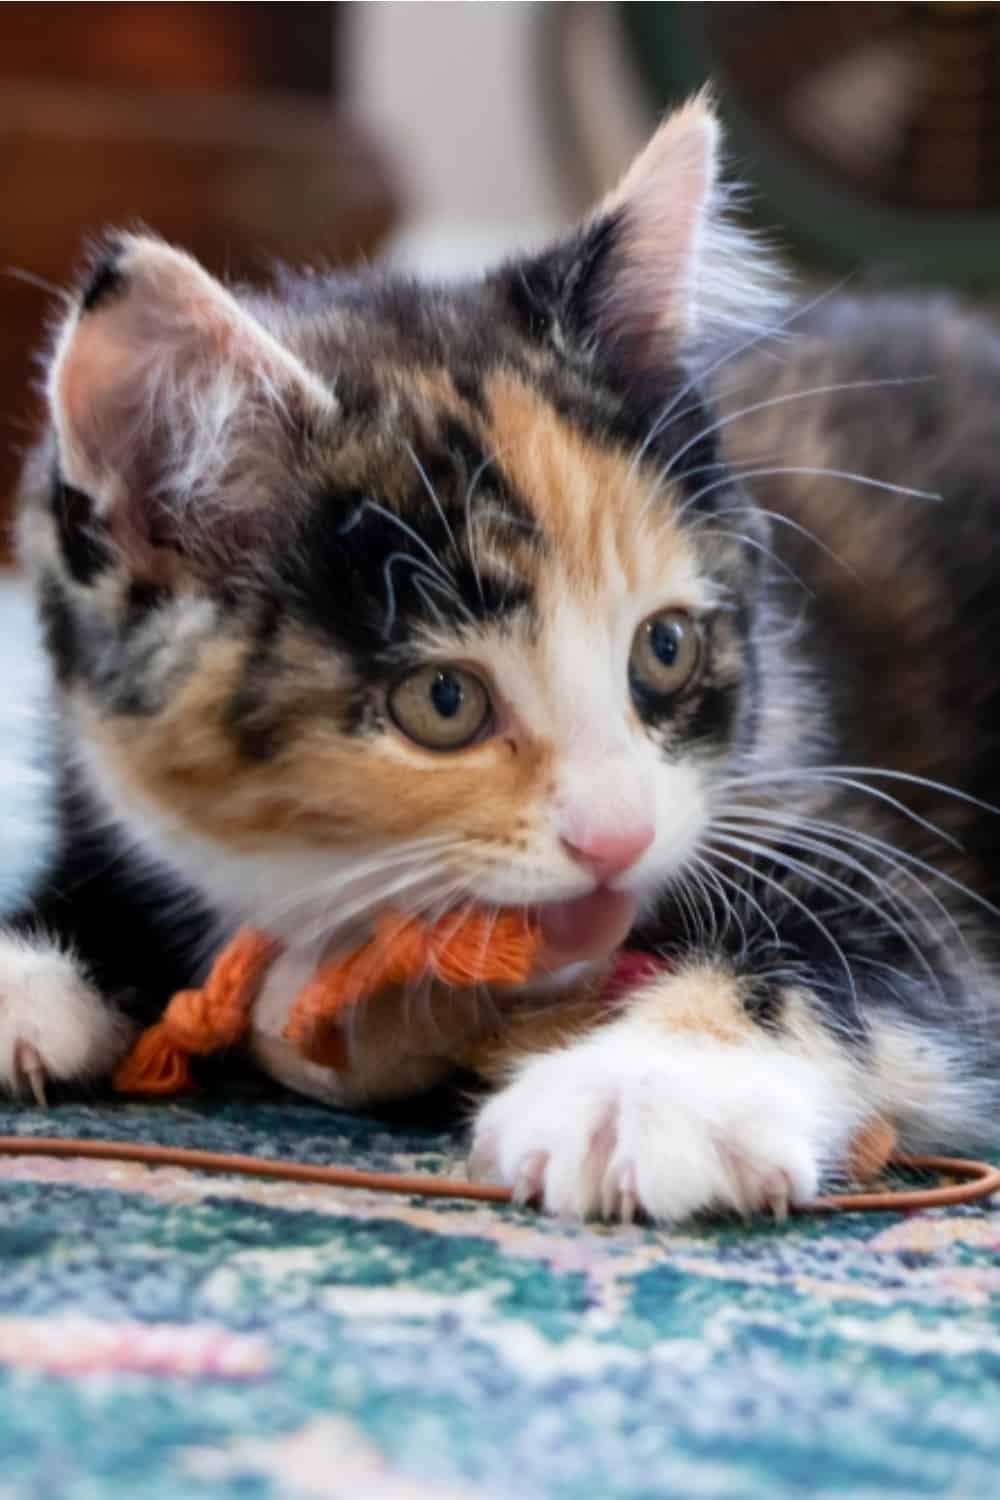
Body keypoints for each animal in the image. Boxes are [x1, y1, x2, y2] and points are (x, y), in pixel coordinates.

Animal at [1, 96, 1000, 1218]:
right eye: (443, 701)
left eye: (664, 647)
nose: (618, 838)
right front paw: (37, 960)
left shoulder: (835, 816)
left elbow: (871, 950)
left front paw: (644, 1088)